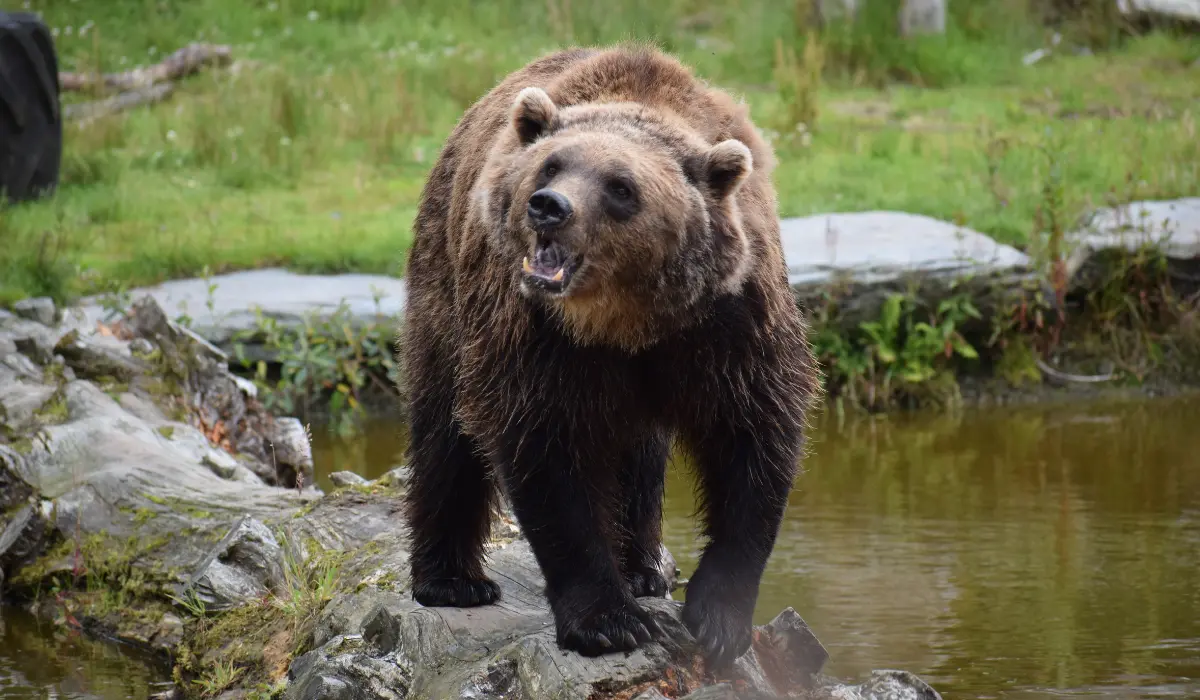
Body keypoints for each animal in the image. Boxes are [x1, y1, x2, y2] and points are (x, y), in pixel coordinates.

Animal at [400, 44, 818, 669]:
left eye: (621, 187)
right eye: (551, 166)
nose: (548, 206)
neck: (626, 320)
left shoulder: (731, 326)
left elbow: (752, 439)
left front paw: (719, 619)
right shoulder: (535, 336)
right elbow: (550, 455)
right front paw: (608, 621)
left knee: (641, 456)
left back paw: (647, 568)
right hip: (445, 288)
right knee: (444, 427)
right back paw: (452, 580)